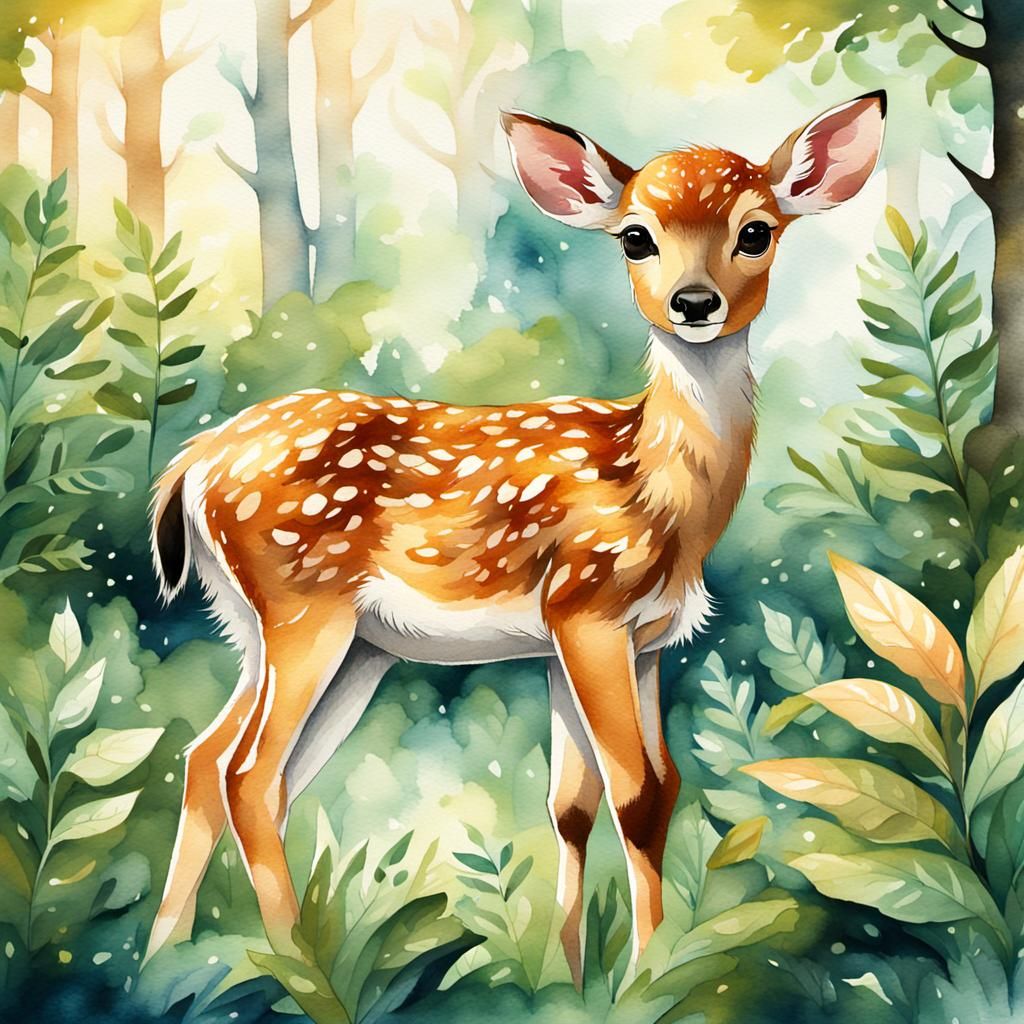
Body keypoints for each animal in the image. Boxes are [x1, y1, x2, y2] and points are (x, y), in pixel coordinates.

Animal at [142, 92, 885, 985]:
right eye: (636, 237)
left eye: (757, 229)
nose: (695, 301)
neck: (658, 492)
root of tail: (192, 466)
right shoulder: (587, 608)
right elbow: (637, 794)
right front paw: (644, 976)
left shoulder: (634, 640)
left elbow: (590, 802)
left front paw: (574, 978)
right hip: (301, 607)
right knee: (251, 774)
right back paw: (303, 969)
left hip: (308, 638)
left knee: (213, 762)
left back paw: (167, 960)